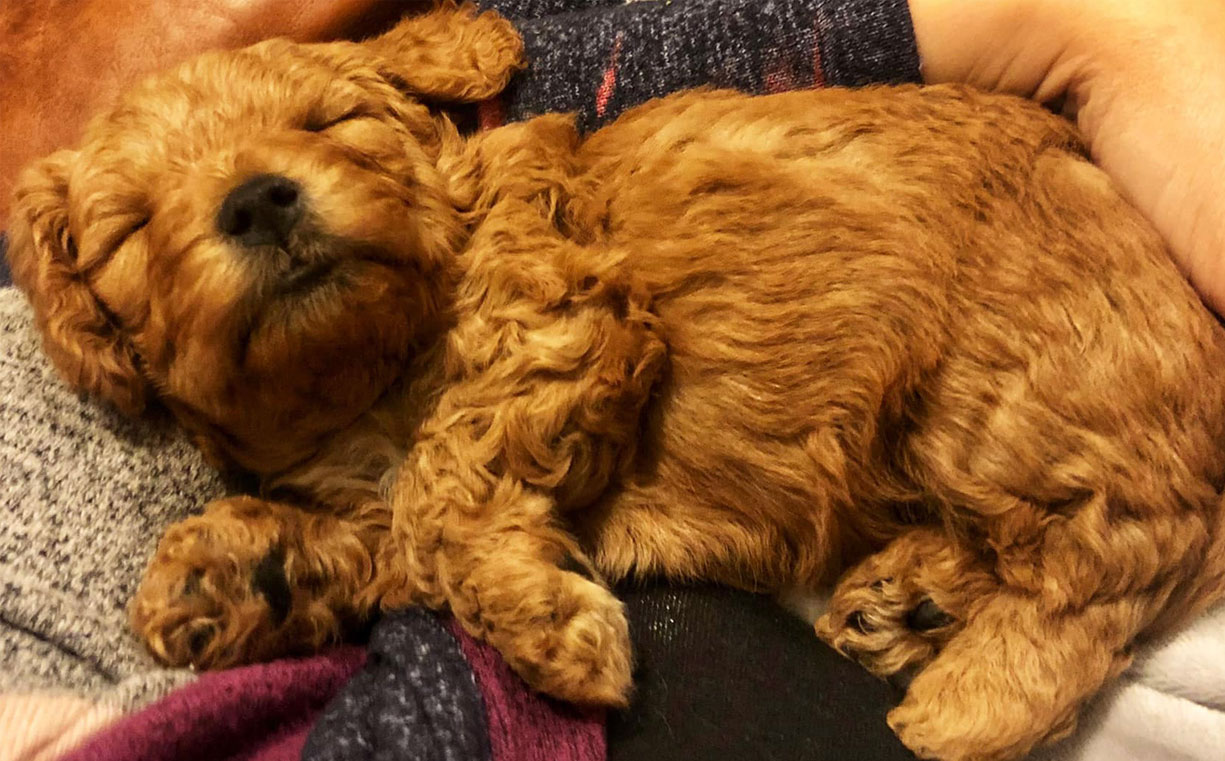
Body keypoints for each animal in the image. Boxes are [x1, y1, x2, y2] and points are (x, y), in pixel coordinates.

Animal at [9, 5, 1225, 759]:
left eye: (330, 122)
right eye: (130, 228)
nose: (259, 198)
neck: (362, 379)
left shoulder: (556, 316)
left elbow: (445, 490)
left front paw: (552, 625)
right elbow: (397, 538)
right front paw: (239, 571)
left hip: (1011, 376)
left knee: (1118, 548)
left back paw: (969, 703)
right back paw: (910, 598)